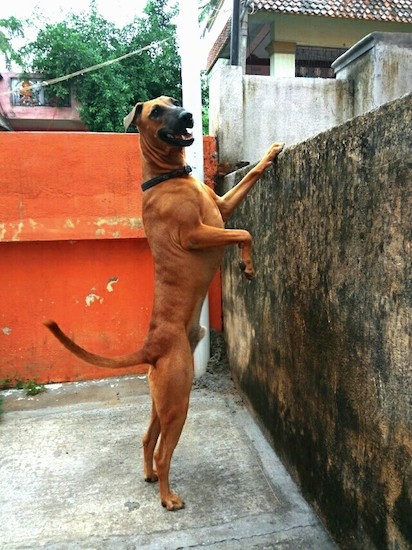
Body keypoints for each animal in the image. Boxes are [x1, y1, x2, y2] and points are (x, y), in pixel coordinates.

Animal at [45, 96, 284, 512]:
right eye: (156, 112)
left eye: (173, 102)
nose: (188, 115)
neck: (169, 178)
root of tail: (151, 347)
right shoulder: (199, 233)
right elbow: (244, 232)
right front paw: (248, 265)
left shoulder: (221, 206)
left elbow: (249, 181)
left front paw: (269, 154)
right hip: (178, 400)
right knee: (162, 451)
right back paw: (168, 497)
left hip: (162, 400)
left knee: (146, 439)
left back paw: (150, 476)